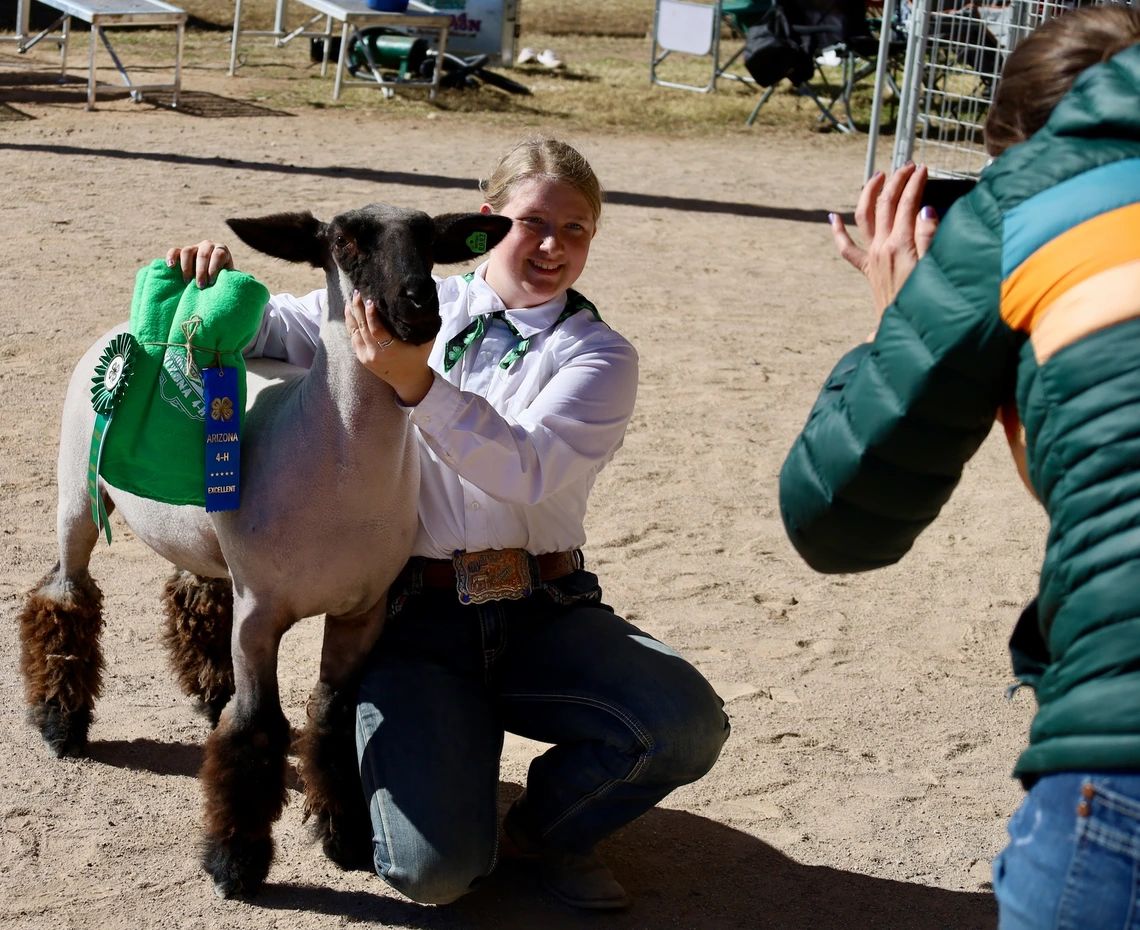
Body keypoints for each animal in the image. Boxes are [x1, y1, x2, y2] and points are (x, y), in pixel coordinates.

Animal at [16, 199, 513, 898]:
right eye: (345, 240)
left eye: (430, 241)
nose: (419, 305)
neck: (340, 473)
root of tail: (120, 327)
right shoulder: (260, 615)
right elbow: (254, 727)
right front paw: (234, 865)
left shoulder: (362, 611)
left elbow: (331, 717)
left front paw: (344, 837)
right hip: (77, 491)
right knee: (63, 590)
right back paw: (59, 723)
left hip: (204, 533)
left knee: (194, 589)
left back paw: (206, 692)